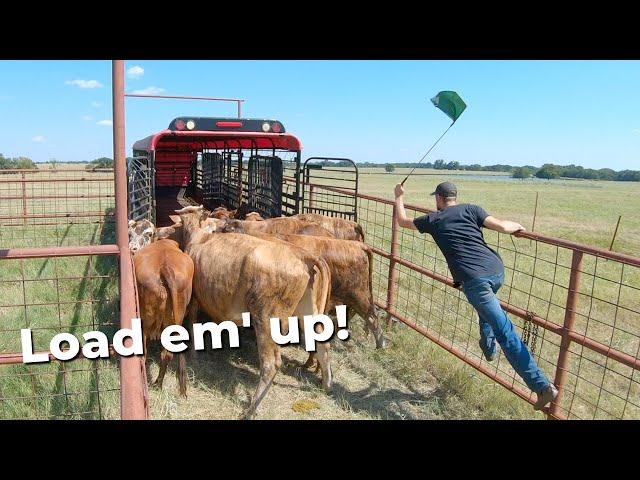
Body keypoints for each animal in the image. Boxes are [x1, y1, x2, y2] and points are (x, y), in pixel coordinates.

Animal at [126, 221, 194, 398]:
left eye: (148, 234)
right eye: (129, 233)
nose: (132, 248)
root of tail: (165, 268)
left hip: (145, 319)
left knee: (144, 351)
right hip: (176, 318)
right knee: (167, 354)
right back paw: (158, 383)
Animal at [176, 204, 336, 418]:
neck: (199, 235)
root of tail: (304, 256)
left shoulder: (194, 298)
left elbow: (193, 324)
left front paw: (194, 353)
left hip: (266, 317)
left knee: (271, 363)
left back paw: (251, 409)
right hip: (307, 311)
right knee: (323, 346)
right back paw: (326, 385)